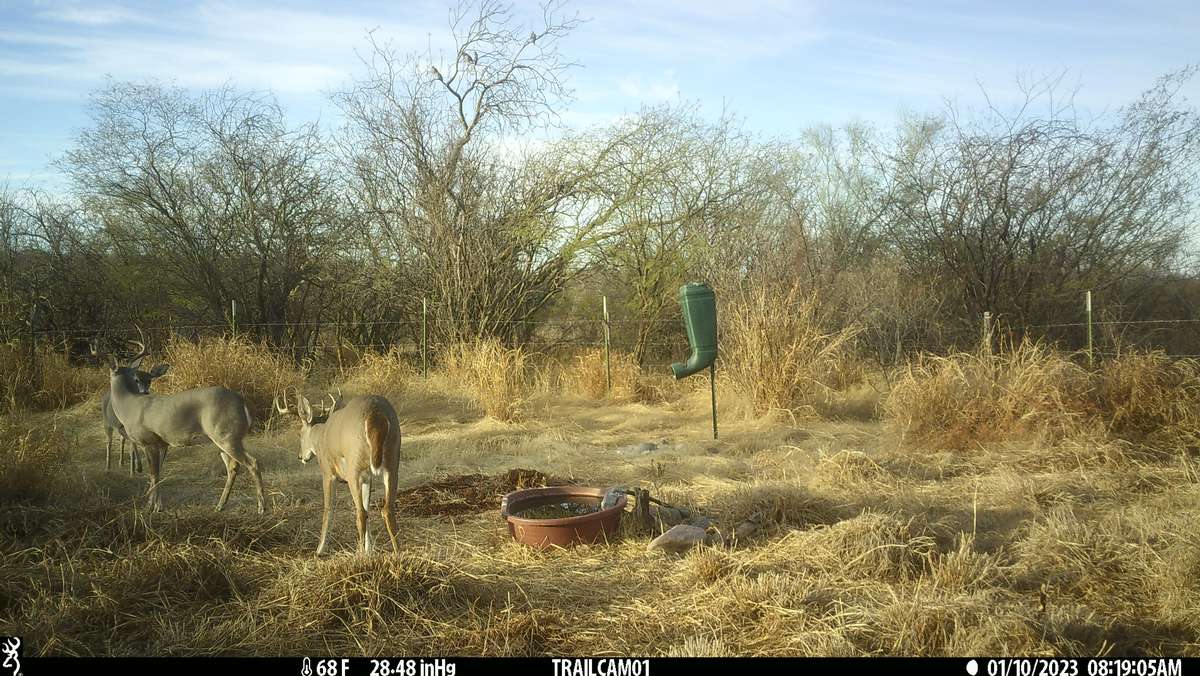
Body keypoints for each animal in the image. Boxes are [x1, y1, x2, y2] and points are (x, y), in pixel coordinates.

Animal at [108, 339, 266, 513]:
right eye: (135, 378)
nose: (144, 390)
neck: (128, 405)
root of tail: (241, 400)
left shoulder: (148, 440)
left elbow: (153, 474)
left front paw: (150, 508)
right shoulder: (162, 443)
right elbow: (158, 473)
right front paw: (157, 506)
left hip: (226, 435)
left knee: (252, 462)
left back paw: (261, 507)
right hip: (224, 437)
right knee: (233, 466)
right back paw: (219, 505)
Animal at [275, 390, 402, 555]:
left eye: (300, 434)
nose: (300, 456)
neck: (320, 437)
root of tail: (375, 414)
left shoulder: (328, 473)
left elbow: (328, 508)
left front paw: (320, 549)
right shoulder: (367, 477)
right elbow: (367, 505)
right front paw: (370, 549)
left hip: (354, 466)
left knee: (360, 513)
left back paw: (359, 555)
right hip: (393, 461)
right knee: (386, 509)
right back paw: (397, 551)